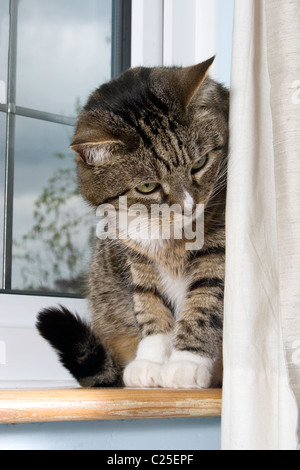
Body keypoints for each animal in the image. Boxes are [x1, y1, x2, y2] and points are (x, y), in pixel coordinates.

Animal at [36, 57, 229, 390]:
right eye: (148, 187)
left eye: (200, 163)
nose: (189, 208)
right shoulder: (137, 257)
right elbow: (150, 306)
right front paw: (151, 362)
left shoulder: (218, 251)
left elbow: (203, 302)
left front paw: (185, 364)